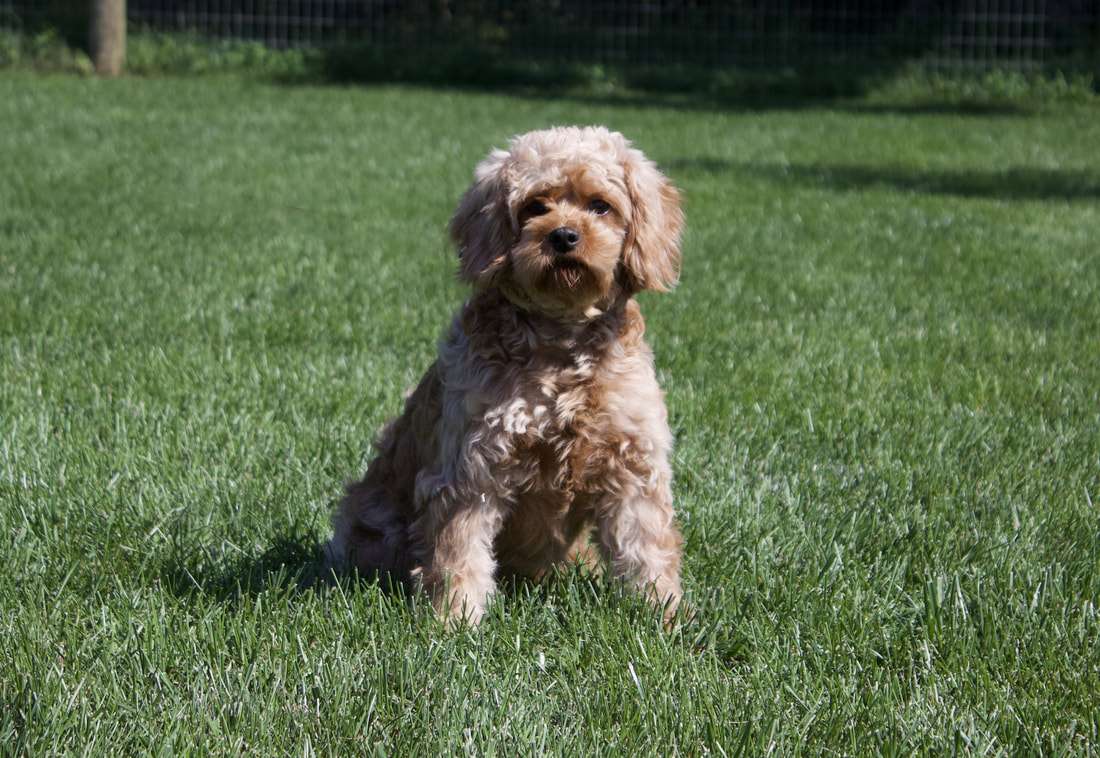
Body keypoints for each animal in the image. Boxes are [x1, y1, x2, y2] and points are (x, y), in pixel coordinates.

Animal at [327, 125, 686, 624]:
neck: (560, 344)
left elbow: (647, 548)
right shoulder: (473, 467)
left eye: (601, 205)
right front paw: (456, 619)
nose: (564, 236)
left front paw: (663, 615)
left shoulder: (632, 463)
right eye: (535, 206)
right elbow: (458, 552)